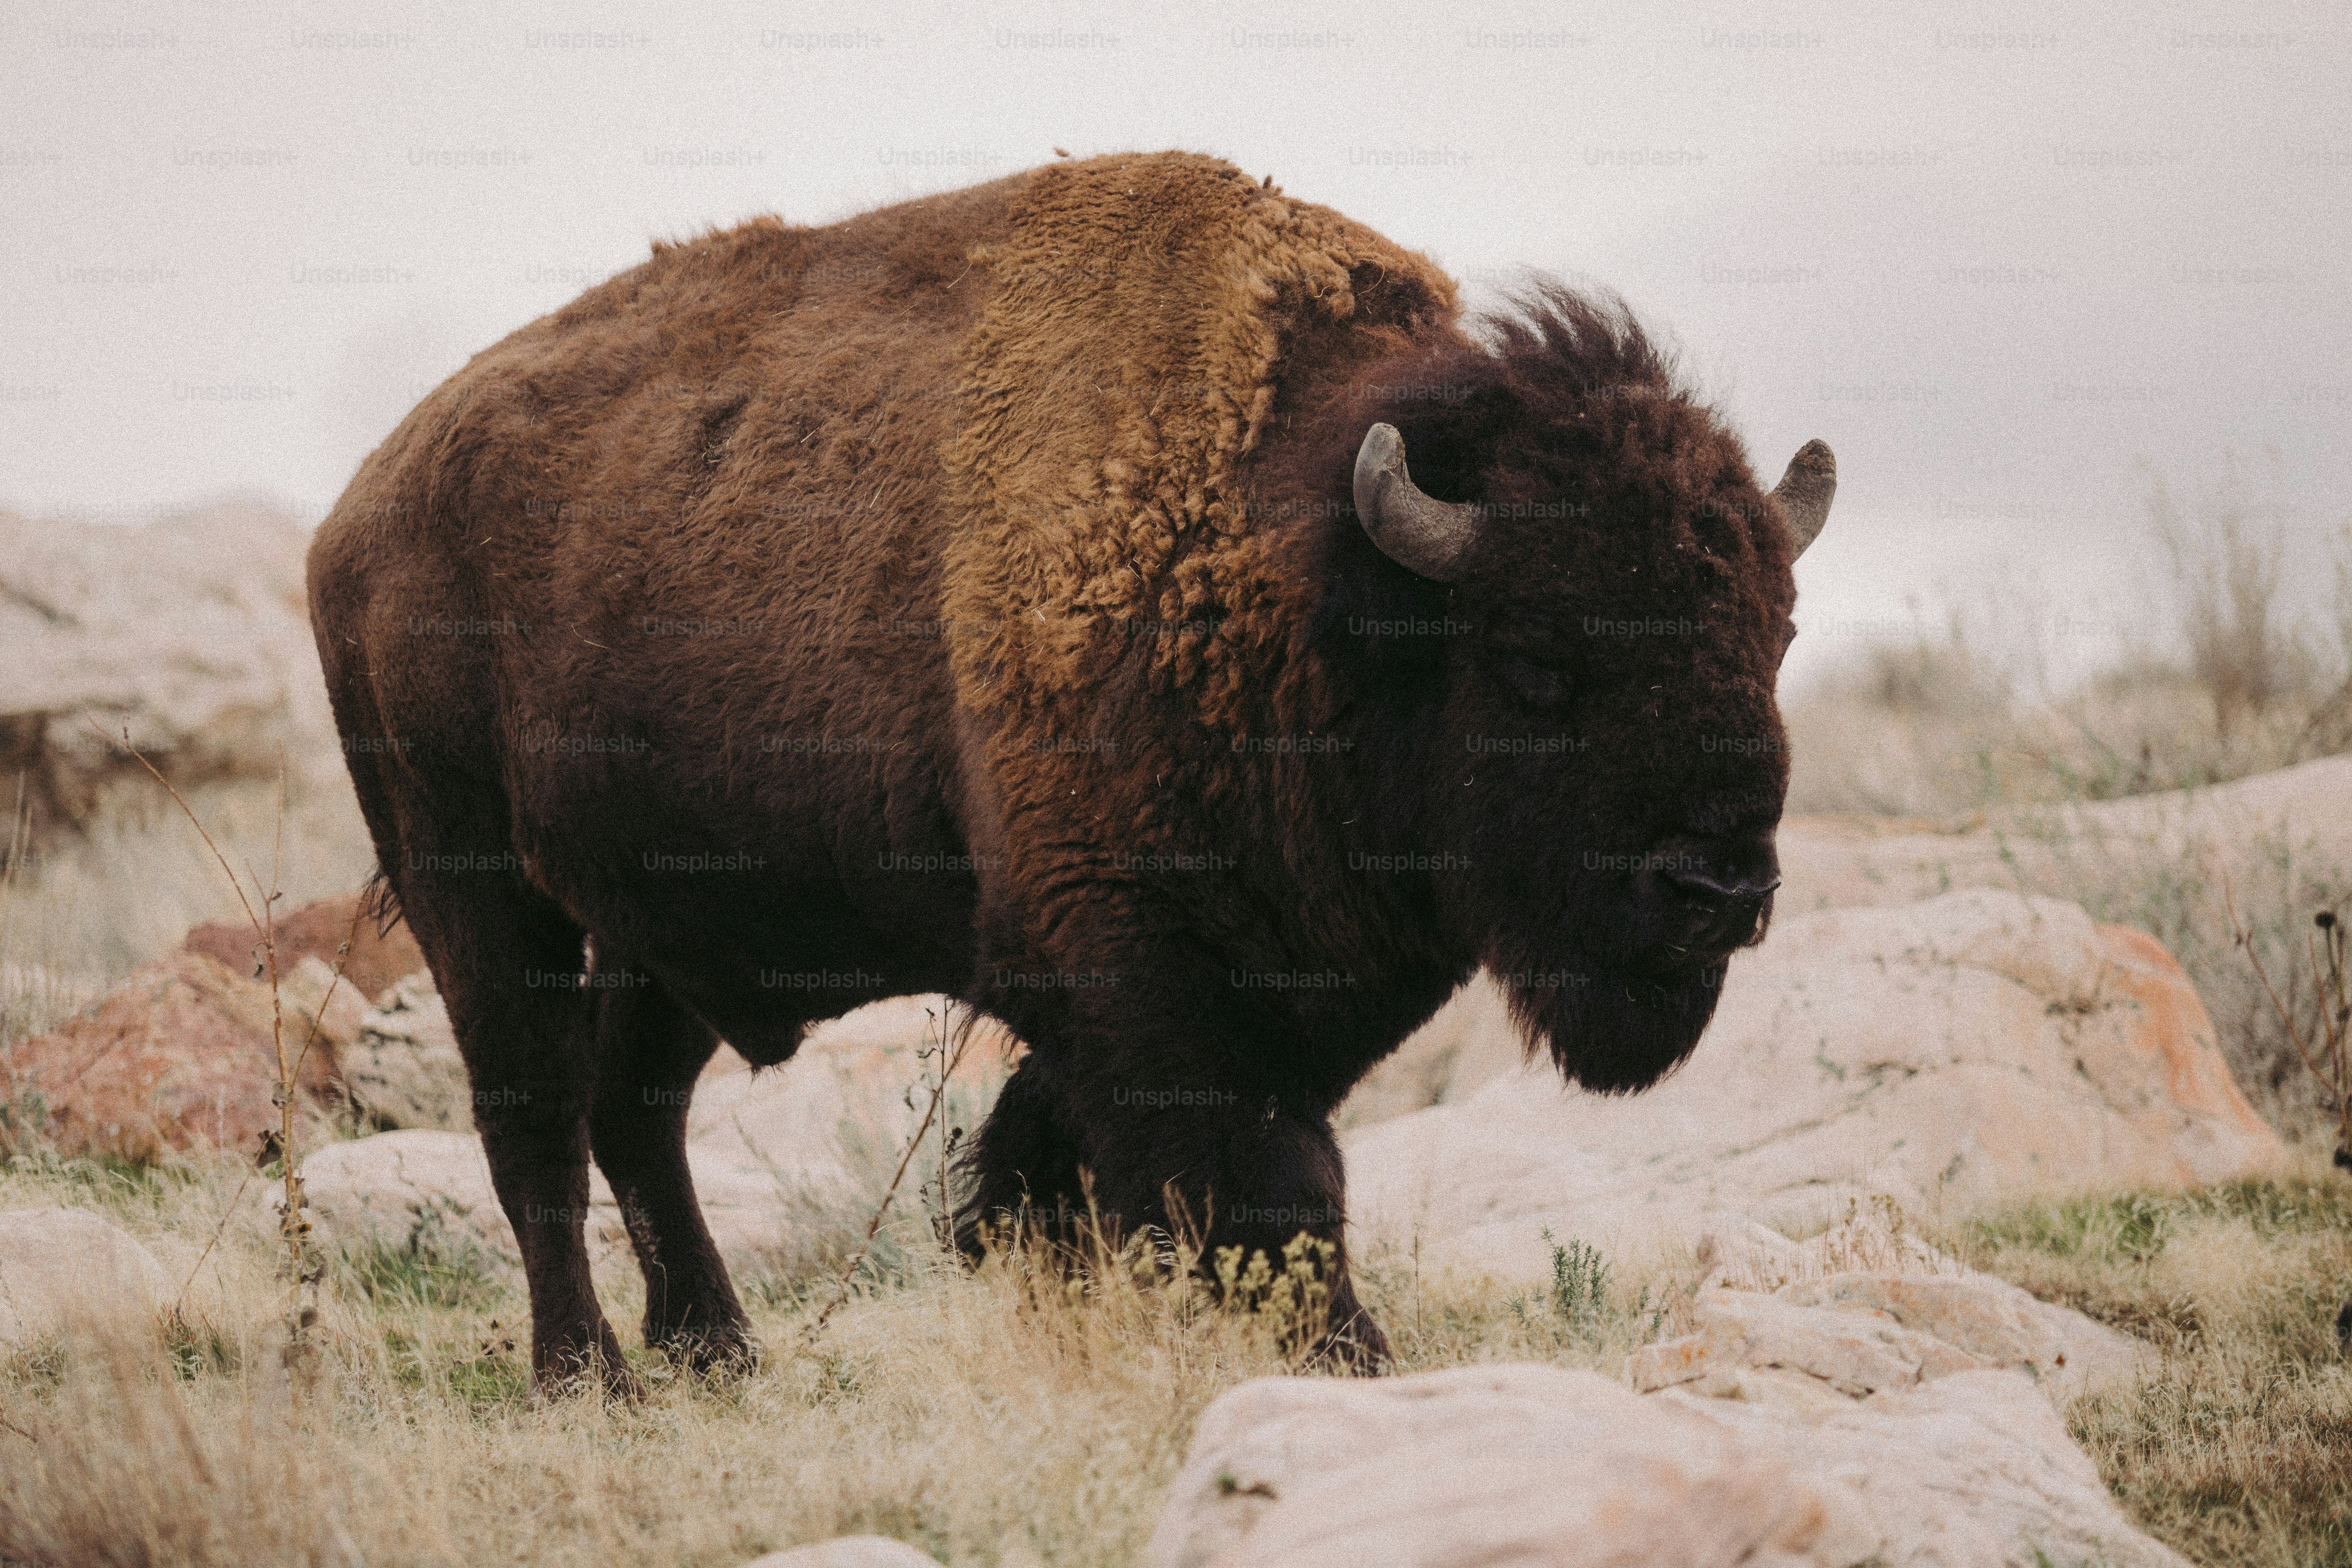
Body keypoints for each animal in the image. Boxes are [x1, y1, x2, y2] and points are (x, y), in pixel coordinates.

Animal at [308, 151, 1834, 1388]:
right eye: (1535, 659)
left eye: (1778, 632)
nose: (1719, 890)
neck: (1294, 566)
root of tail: (359, 510)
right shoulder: (1141, 972)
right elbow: (1266, 1188)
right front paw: (1355, 1362)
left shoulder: (1268, 983)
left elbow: (1080, 1158)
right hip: (470, 887)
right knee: (533, 1121)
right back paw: (589, 1377)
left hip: (667, 921)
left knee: (637, 1109)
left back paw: (719, 1350)